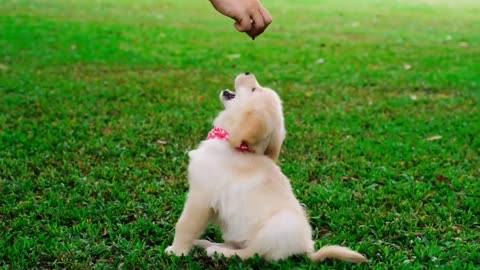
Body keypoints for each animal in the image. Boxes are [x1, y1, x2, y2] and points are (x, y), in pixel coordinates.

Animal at [165, 73, 368, 262]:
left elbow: (185, 225)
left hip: (276, 227)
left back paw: (218, 252)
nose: (248, 72)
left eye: (254, 89)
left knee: (252, 253)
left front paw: (177, 251)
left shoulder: (201, 197)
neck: (234, 144)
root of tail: (307, 249)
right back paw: (207, 244)